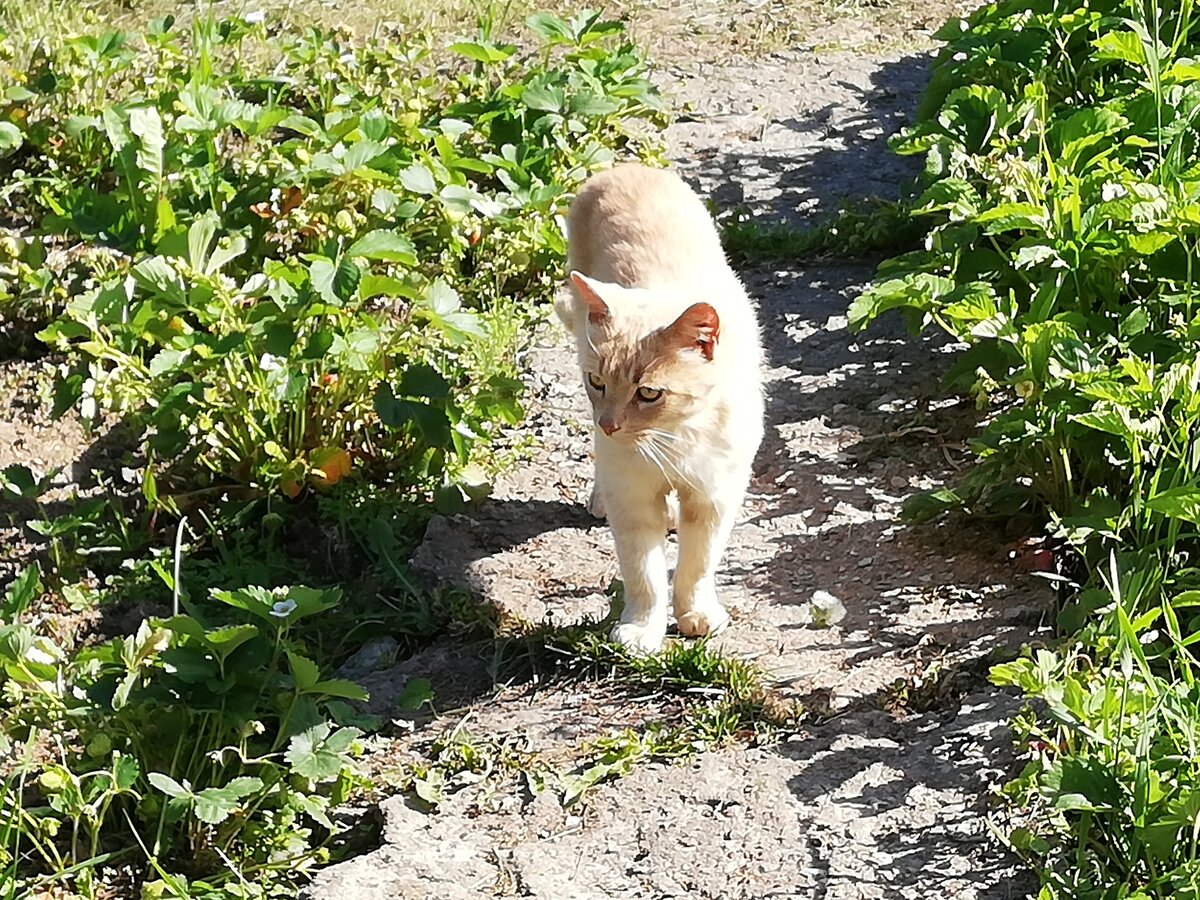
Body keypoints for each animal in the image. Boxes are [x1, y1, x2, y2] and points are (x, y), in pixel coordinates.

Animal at [556, 164, 763, 657]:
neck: (672, 440)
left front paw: (697, 615)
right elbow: (644, 574)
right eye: (598, 383)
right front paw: (641, 630)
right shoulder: (631, 497)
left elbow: (697, 564)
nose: (609, 424)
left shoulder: (714, 496)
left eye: (648, 393)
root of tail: (624, 166)